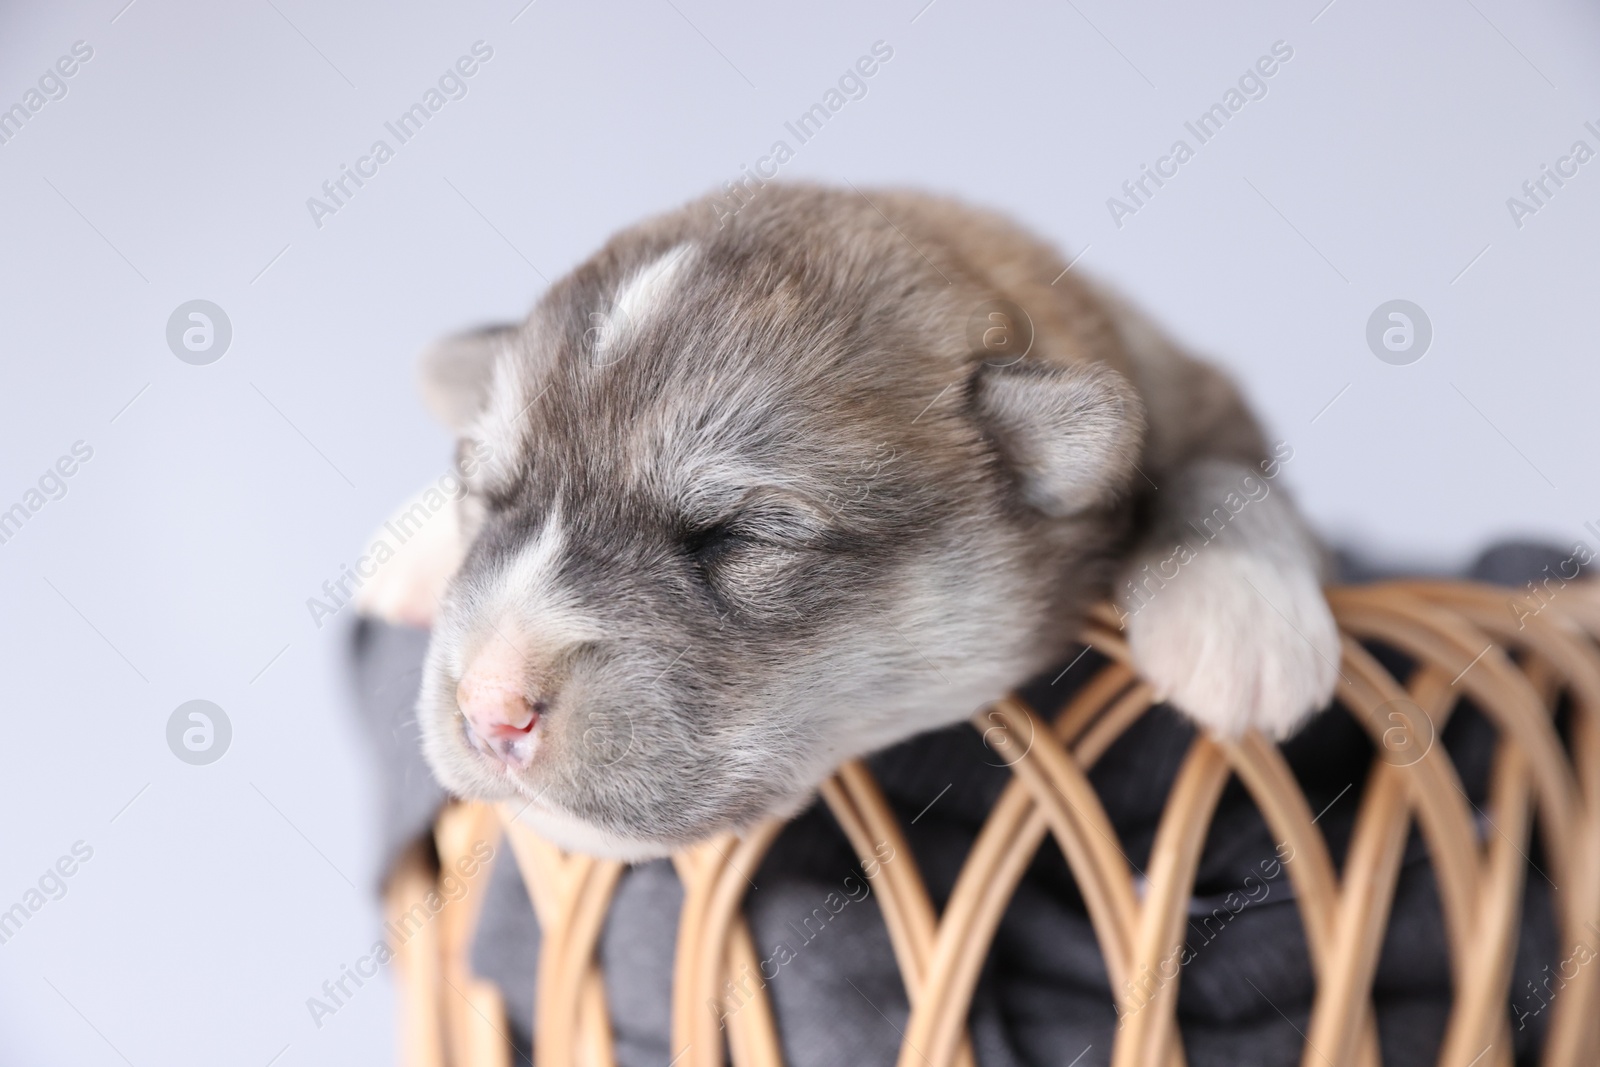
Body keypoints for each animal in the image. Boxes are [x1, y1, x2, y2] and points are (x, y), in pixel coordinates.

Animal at [363, 179, 1337, 857]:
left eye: (740, 534)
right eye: (491, 496)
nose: (489, 707)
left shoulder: (1194, 397)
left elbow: (1219, 471)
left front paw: (1237, 611)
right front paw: (412, 550)